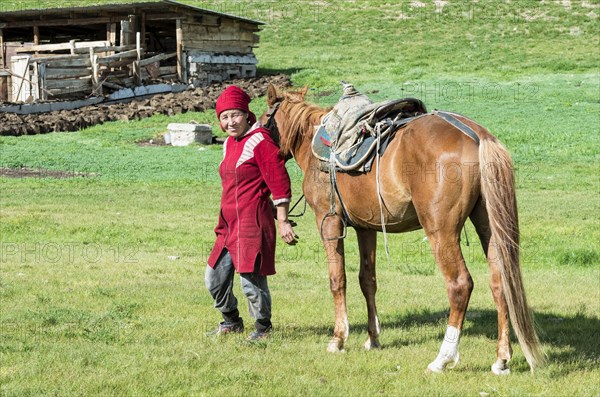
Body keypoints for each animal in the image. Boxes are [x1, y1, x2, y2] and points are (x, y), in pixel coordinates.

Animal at [262, 83, 544, 372]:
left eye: (262, 119)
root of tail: (477, 135)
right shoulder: (366, 227)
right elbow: (367, 280)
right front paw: (373, 338)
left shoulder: (328, 221)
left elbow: (337, 279)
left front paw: (338, 339)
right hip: (489, 227)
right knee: (499, 284)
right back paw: (501, 359)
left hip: (441, 232)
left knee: (459, 286)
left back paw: (442, 358)